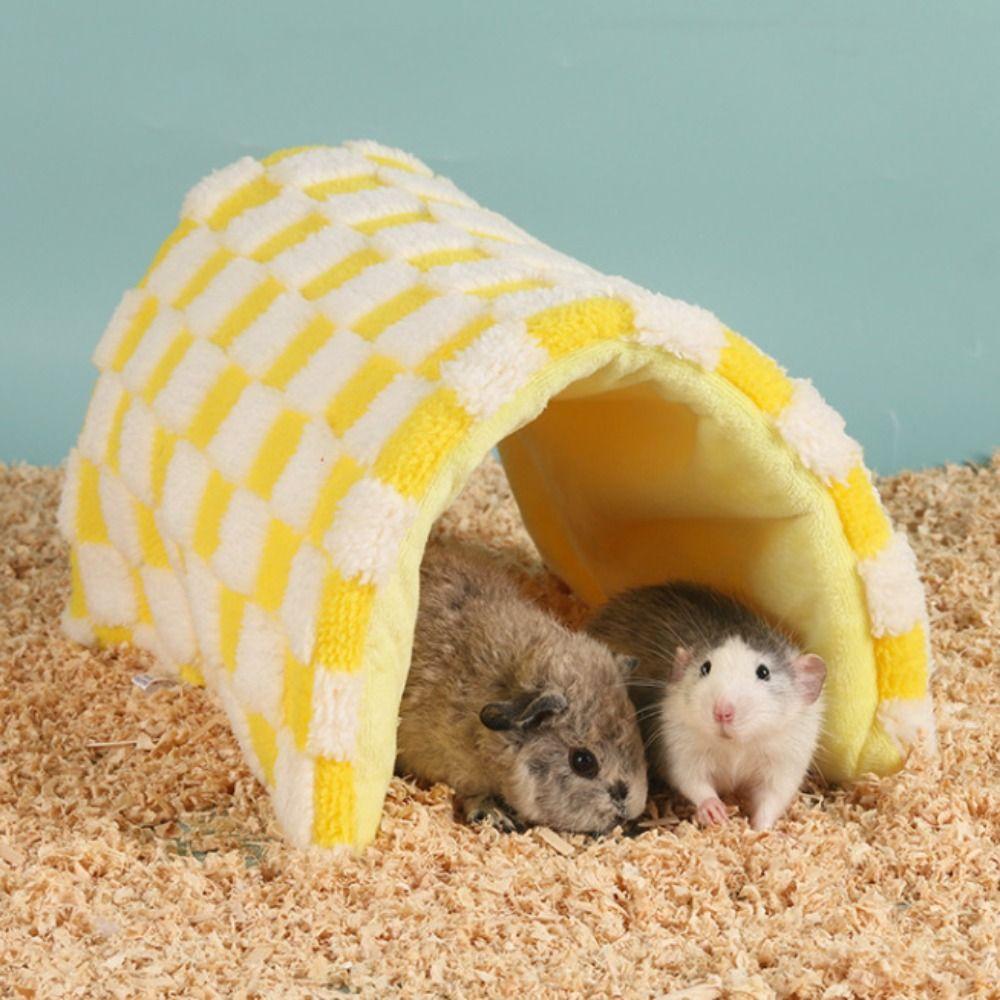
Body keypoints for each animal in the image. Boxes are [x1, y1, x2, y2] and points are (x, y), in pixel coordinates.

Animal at [587, 582, 826, 831]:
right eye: (705, 668)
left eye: (763, 672)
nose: (722, 712)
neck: (735, 746)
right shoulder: (679, 742)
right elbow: (690, 777)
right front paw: (713, 808)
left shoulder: (787, 756)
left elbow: (774, 795)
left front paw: (762, 827)